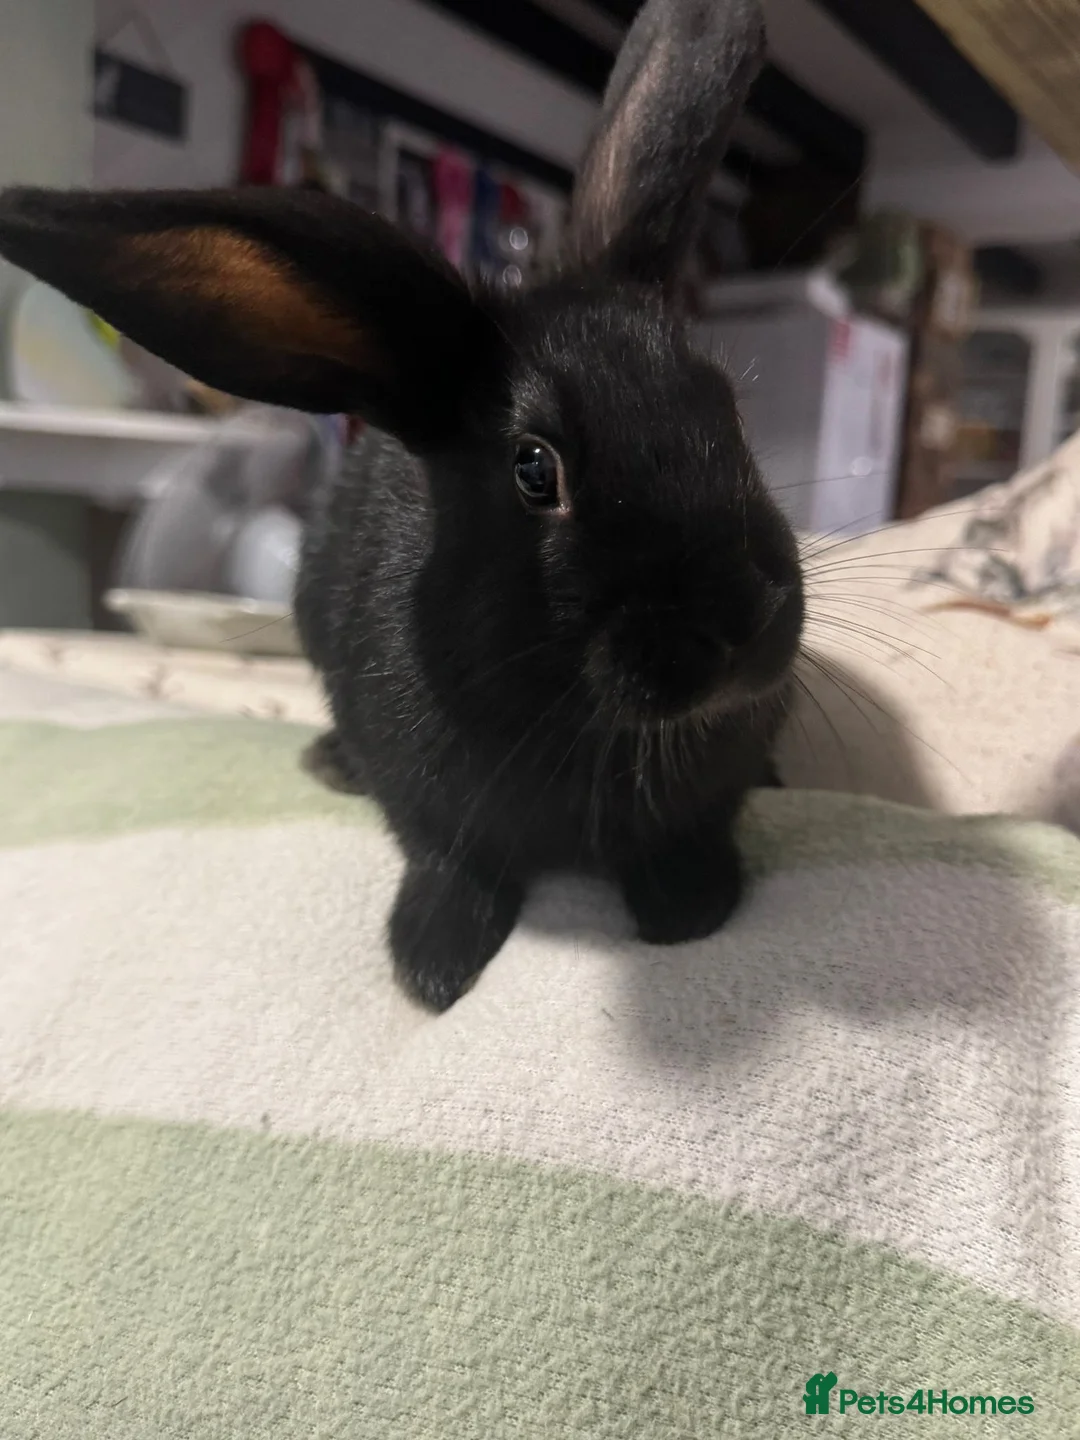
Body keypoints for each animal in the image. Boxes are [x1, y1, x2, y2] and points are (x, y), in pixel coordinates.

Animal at [0, 0, 803, 1012]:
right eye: (535, 470)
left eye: (724, 406)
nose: (742, 623)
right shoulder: (426, 801)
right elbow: (449, 861)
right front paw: (429, 962)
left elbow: (691, 835)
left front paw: (690, 908)